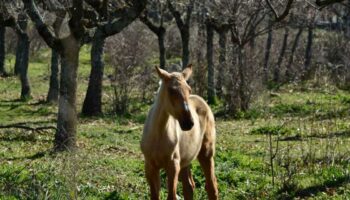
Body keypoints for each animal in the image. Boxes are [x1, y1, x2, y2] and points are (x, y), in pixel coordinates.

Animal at [140, 65, 217, 199]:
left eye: (189, 90)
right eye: (171, 90)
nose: (189, 123)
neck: (158, 135)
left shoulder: (173, 166)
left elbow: (172, 196)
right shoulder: (150, 167)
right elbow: (155, 196)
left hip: (206, 153)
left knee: (212, 187)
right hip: (185, 161)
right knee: (189, 187)